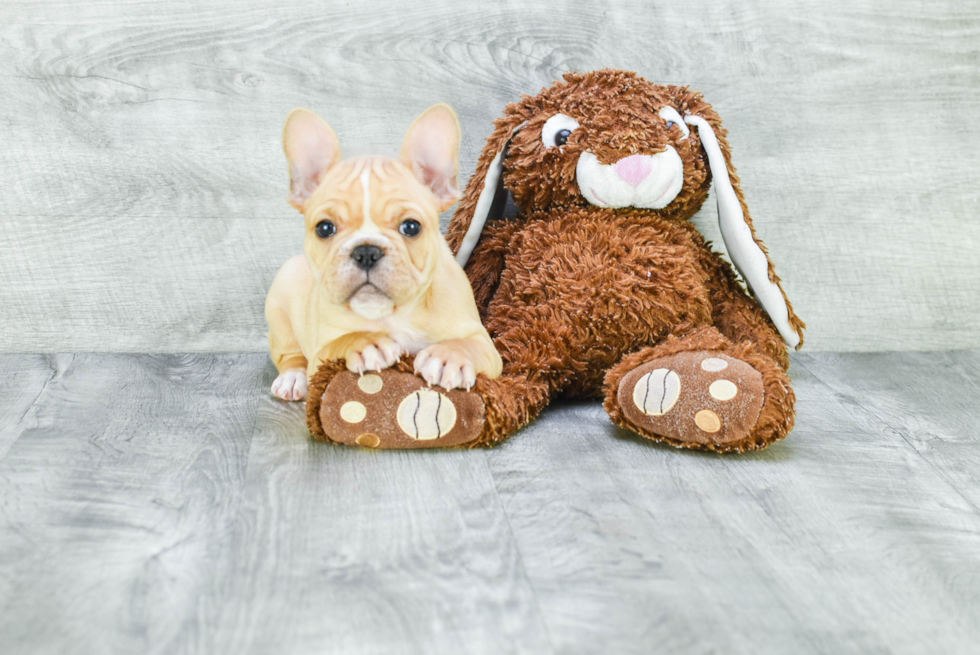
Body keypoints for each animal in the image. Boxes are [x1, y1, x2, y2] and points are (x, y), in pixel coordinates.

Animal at [264, 104, 502, 400]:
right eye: (324, 228)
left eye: (411, 226)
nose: (366, 251)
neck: (394, 314)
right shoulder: (321, 352)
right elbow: (338, 342)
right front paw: (365, 343)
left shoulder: (482, 341)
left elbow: (468, 344)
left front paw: (449, 357)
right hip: (280, 313)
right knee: (290, 356)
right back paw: (292, 378)